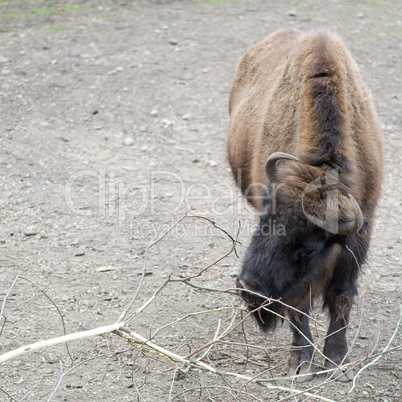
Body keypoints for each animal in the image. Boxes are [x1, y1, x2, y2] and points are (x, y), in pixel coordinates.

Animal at [229, 29, 384, 382]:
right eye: (264, 219)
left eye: (309, 249)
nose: (250, 288)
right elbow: (298, 303)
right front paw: (301, 363)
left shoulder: (358, 239)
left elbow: (340, 295)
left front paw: (337, 359)